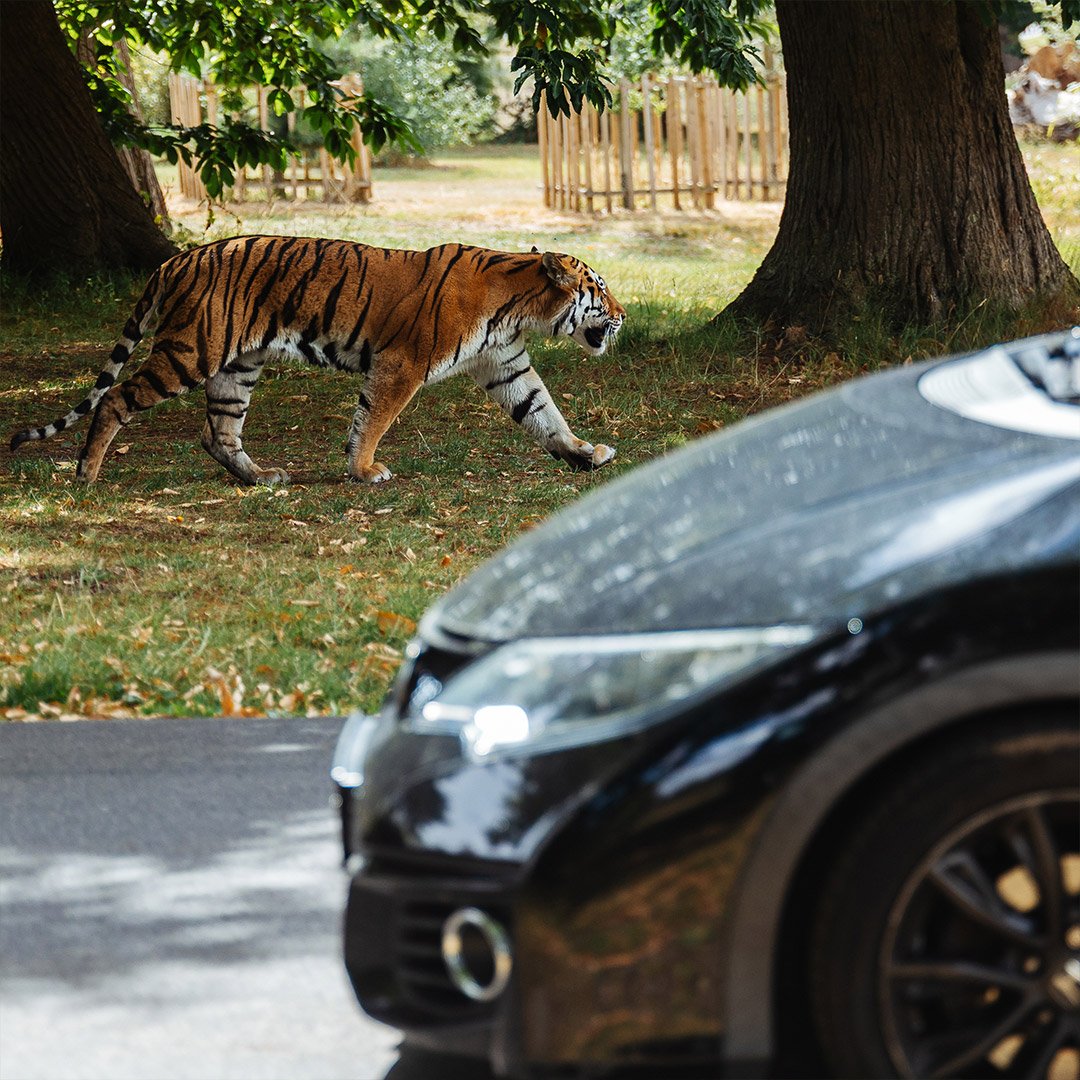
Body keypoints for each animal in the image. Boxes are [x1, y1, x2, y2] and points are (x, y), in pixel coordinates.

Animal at [9, 237, 625, 485]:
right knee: (115, 398)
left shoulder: (506, 364)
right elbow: (372, 421)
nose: (622, 315)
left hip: (238, 364)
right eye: (599, 288)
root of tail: (176, 259)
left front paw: (584, 454)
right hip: (191, 350)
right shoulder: (402, 364)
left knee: (217, 432)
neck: (520, 307)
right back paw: (86, 474)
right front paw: (365, 470)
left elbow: (543, 412)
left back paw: (261, 478)